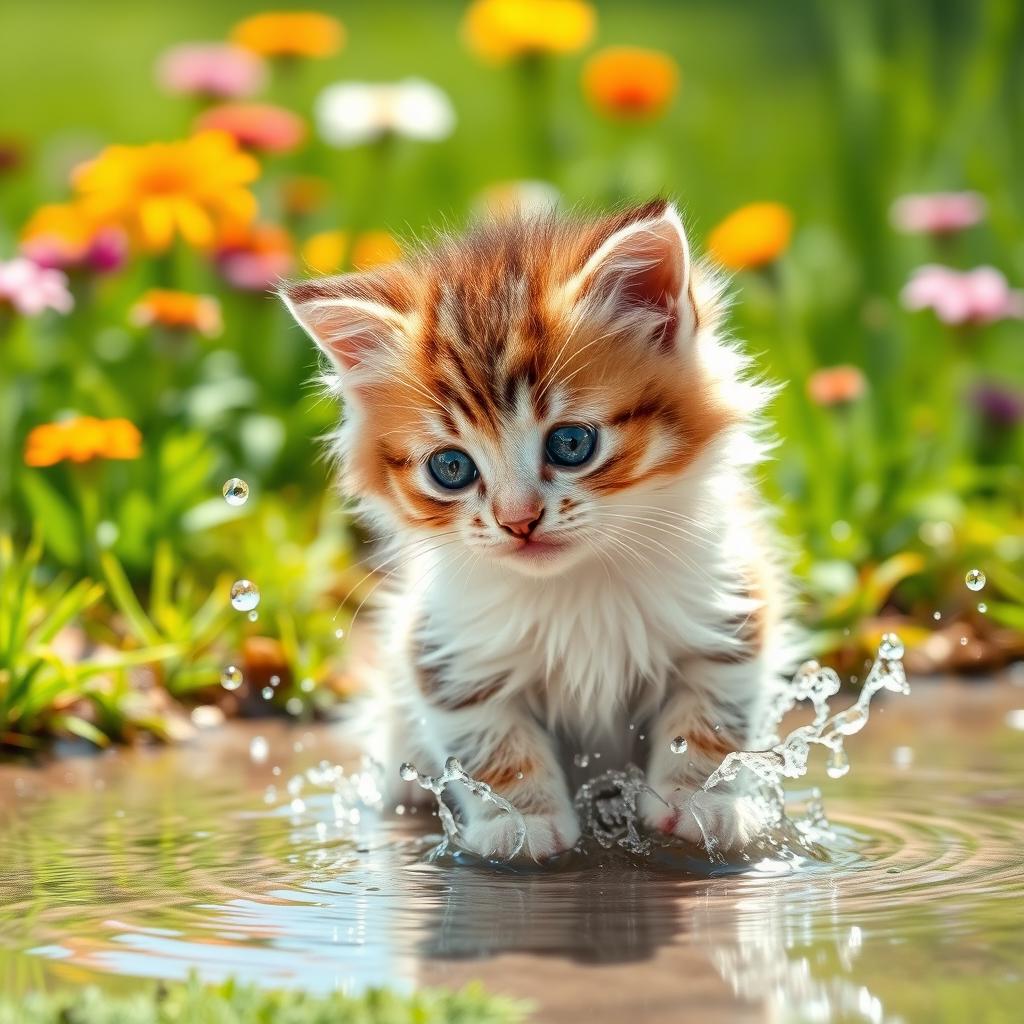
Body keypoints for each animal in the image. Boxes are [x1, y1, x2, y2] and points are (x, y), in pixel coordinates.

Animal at [280, 197, 790, 856]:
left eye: (571, 444)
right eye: (451, 468)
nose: (517, 521)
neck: (577, 587)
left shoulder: (730, 609)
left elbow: (712, 716)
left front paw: (698, 803)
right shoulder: (447, 649)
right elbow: (488, 740)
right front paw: (521, 823)